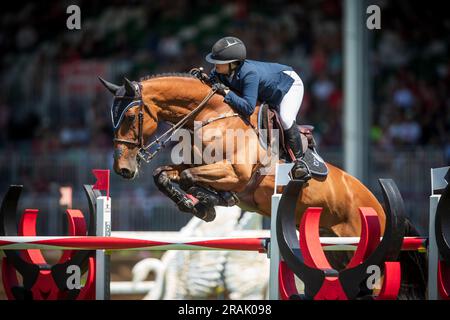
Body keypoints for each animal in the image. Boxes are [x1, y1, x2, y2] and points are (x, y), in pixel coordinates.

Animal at [98, 73, 426, 300]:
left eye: (130, 116)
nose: (122, 169)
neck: (210, 116)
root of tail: (379, 206)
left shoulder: (235, 174)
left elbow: (192, 177)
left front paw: (207, 204)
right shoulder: (196, 167)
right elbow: (163, 174)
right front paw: (197, 204)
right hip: (336, 251)